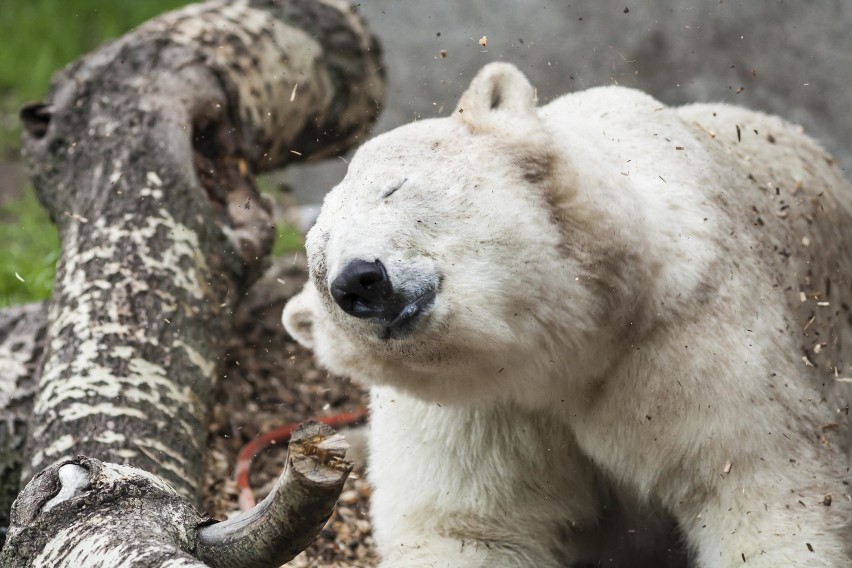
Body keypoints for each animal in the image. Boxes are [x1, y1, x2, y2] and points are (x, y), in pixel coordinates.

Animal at [286, 64, 852, 564]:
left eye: (394, 187)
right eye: (320, 263)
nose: (358, 280)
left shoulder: (691, 332)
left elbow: (759, 487)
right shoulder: (478, 408)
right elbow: (468, 528)